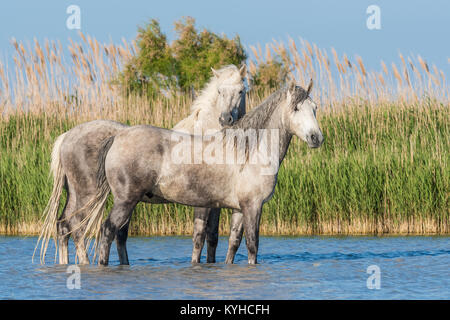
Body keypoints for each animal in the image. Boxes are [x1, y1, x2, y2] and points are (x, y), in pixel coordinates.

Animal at [35, 63, 246, 264]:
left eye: (241, 90)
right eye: (219, 91)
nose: (226, 119)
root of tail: (67, 136)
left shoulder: (216, 203)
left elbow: (213, 237)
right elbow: (200, 236)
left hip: (75, 195)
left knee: (63, 227)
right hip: (88, 196)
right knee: (77, 229)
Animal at [84, 80, 322, 264]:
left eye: (315, 107)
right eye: (296, 108)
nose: (316, 138)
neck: (251, 150)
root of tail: (117, 137)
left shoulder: (239, 209)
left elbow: (234, 244)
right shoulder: (253, 206)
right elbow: (253, 245)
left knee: (119, 235)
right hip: (125, 201)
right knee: (107, 231)